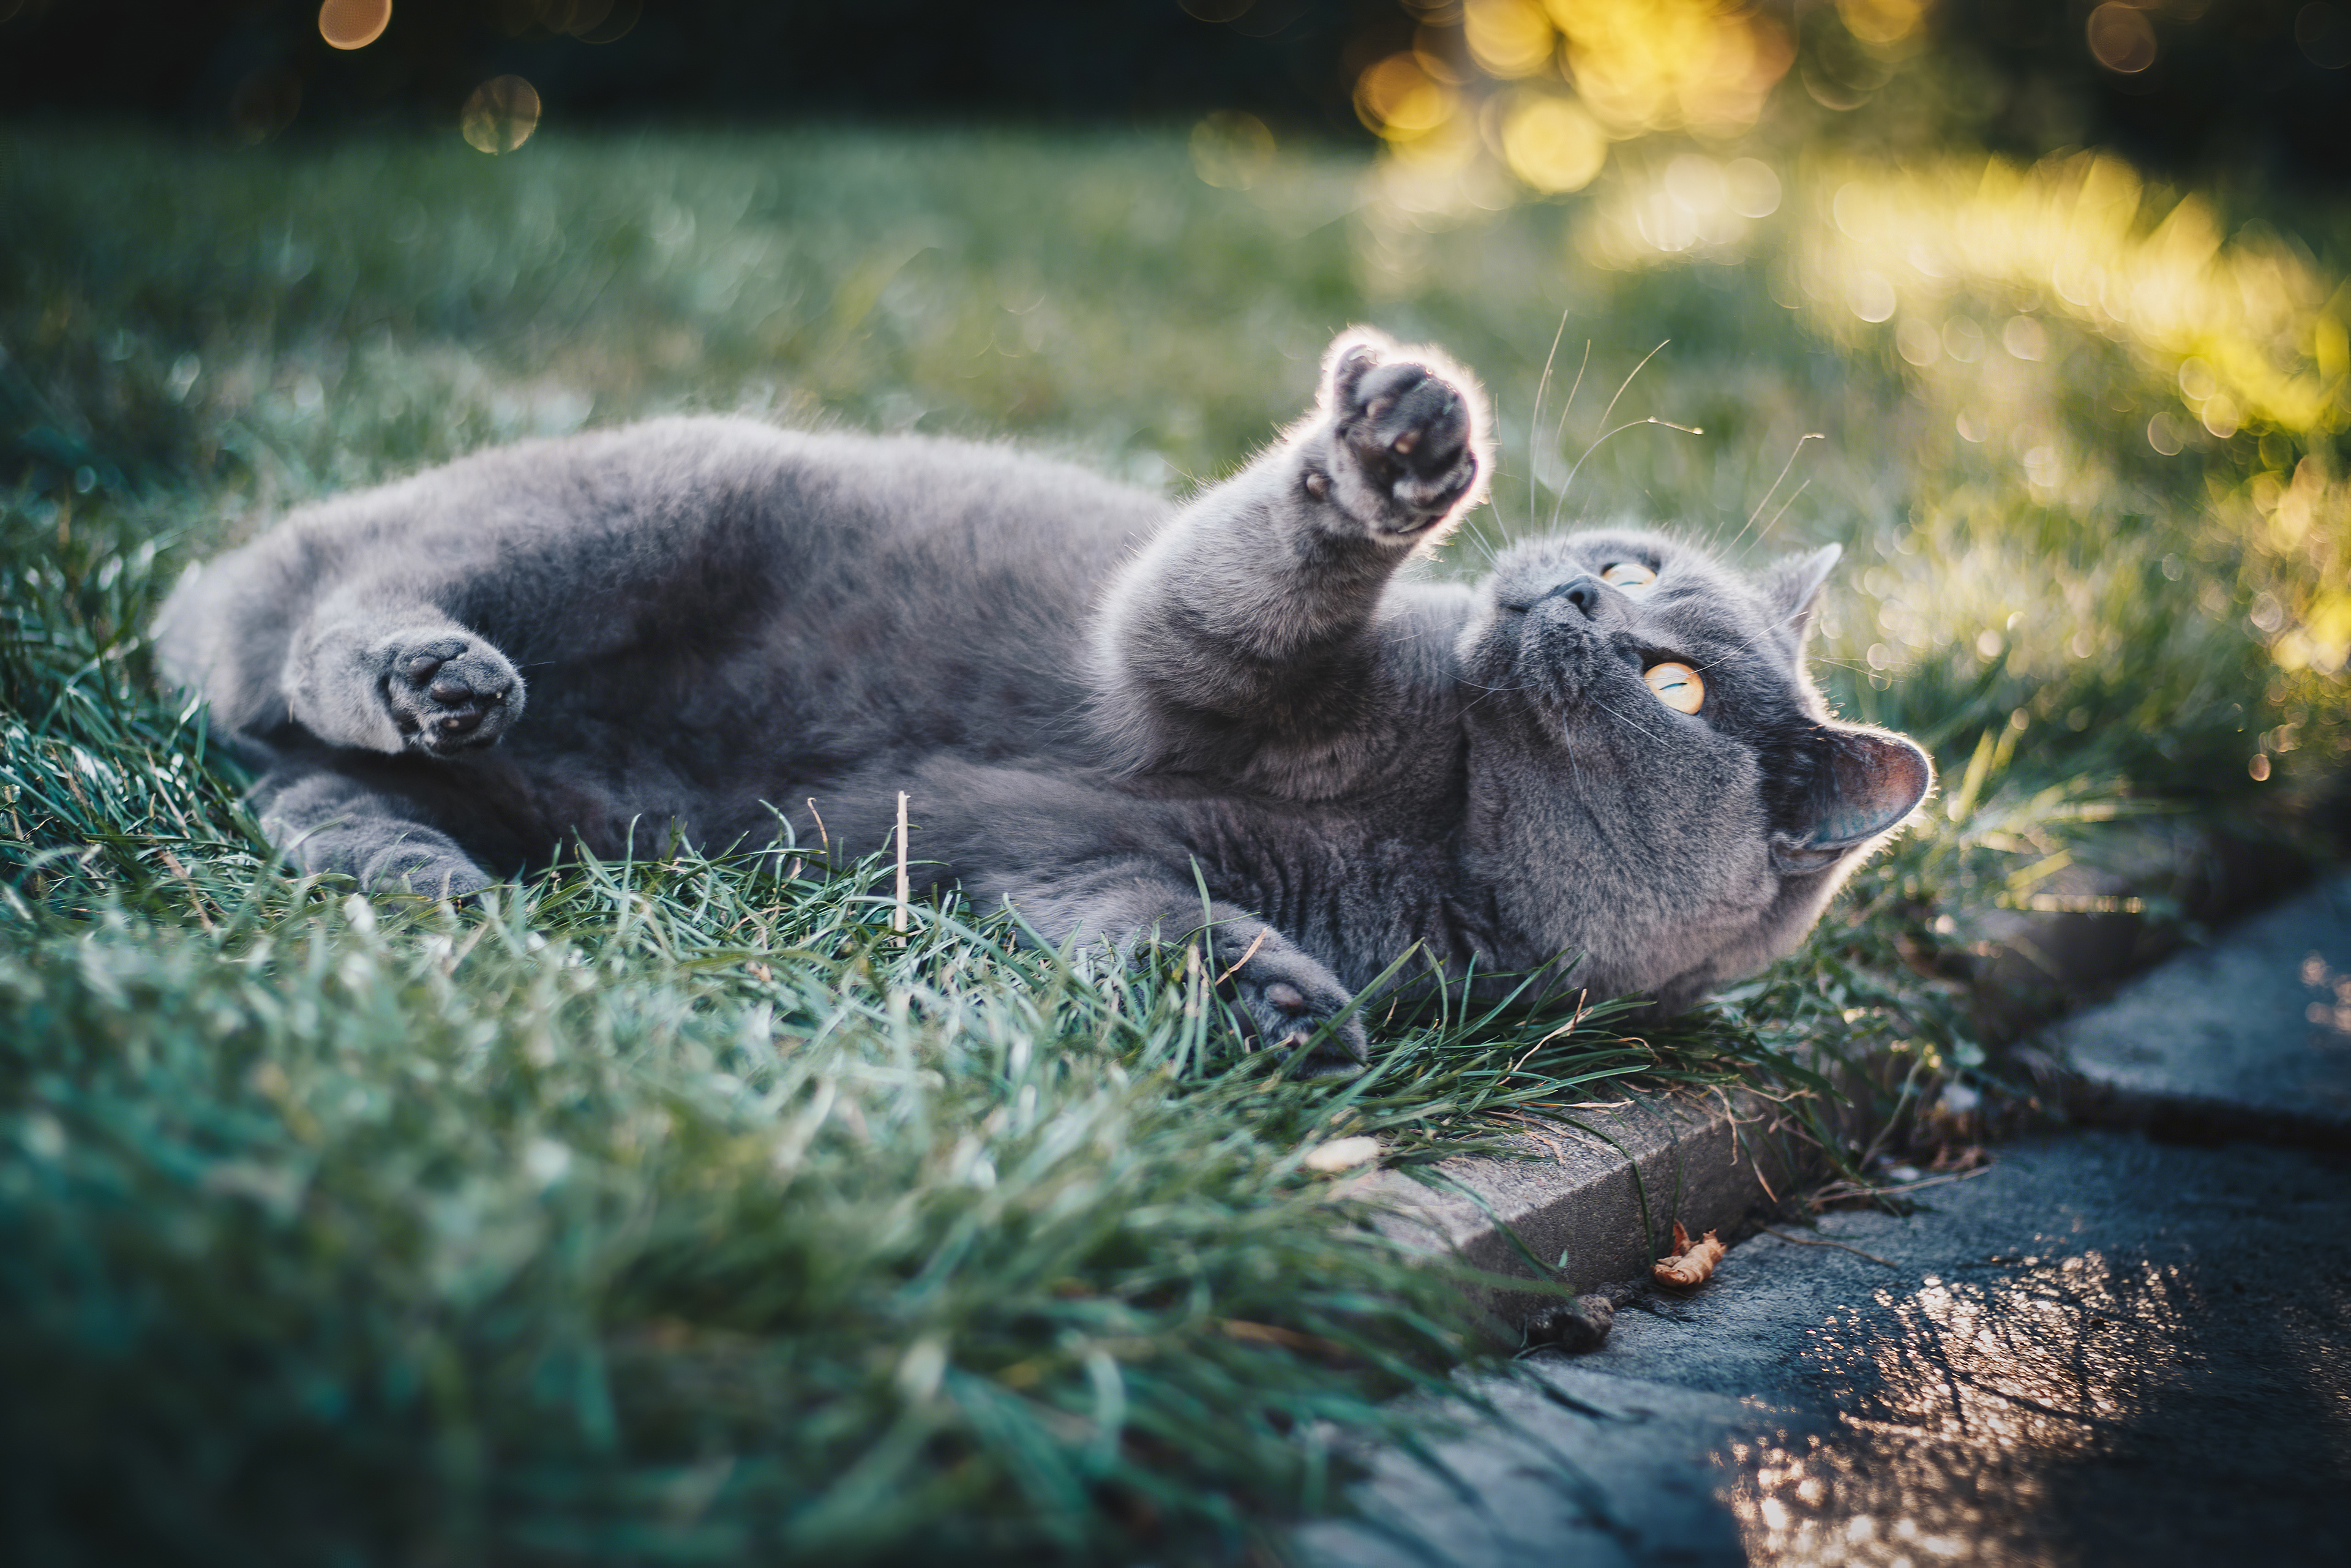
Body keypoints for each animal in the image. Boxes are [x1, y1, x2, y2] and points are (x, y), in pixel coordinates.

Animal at [161, 329, 1927, 1067]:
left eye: (1679, 684)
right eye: (1631, 566)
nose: (1563, 592)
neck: (1440, 813)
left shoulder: (1076, 867)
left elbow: (1140, 918)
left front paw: (1274, 1010)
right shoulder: (1178, 666)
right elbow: (1228, 586)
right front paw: (1395, 449)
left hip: (567, 804)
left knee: (294, 776)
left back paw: (418, 864)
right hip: (641, 509)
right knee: (332, 618)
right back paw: (426, 671)